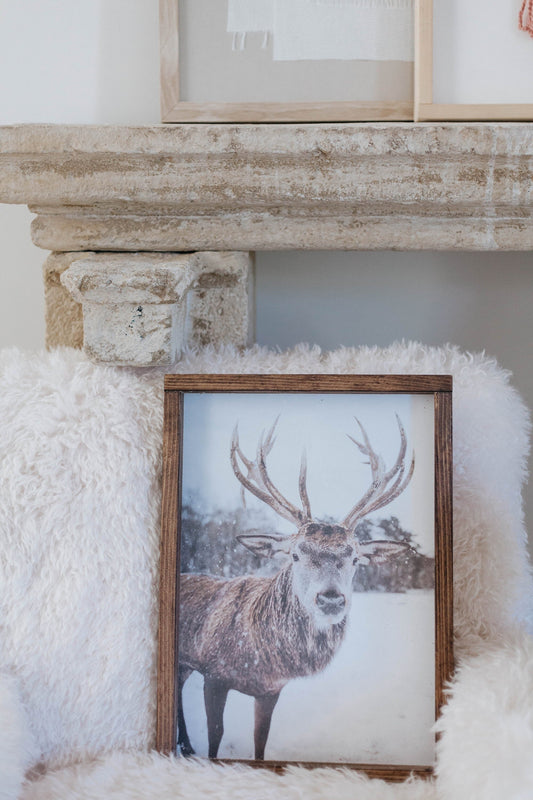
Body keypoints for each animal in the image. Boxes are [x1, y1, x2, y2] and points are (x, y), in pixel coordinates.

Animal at [178, 414, 415, 761]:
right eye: (295, 554)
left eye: (355, 558)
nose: (330, 600)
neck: (259, 660)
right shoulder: (213, 673)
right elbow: (216, 736)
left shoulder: (271, 690)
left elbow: (260, 740)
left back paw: (184, 744)